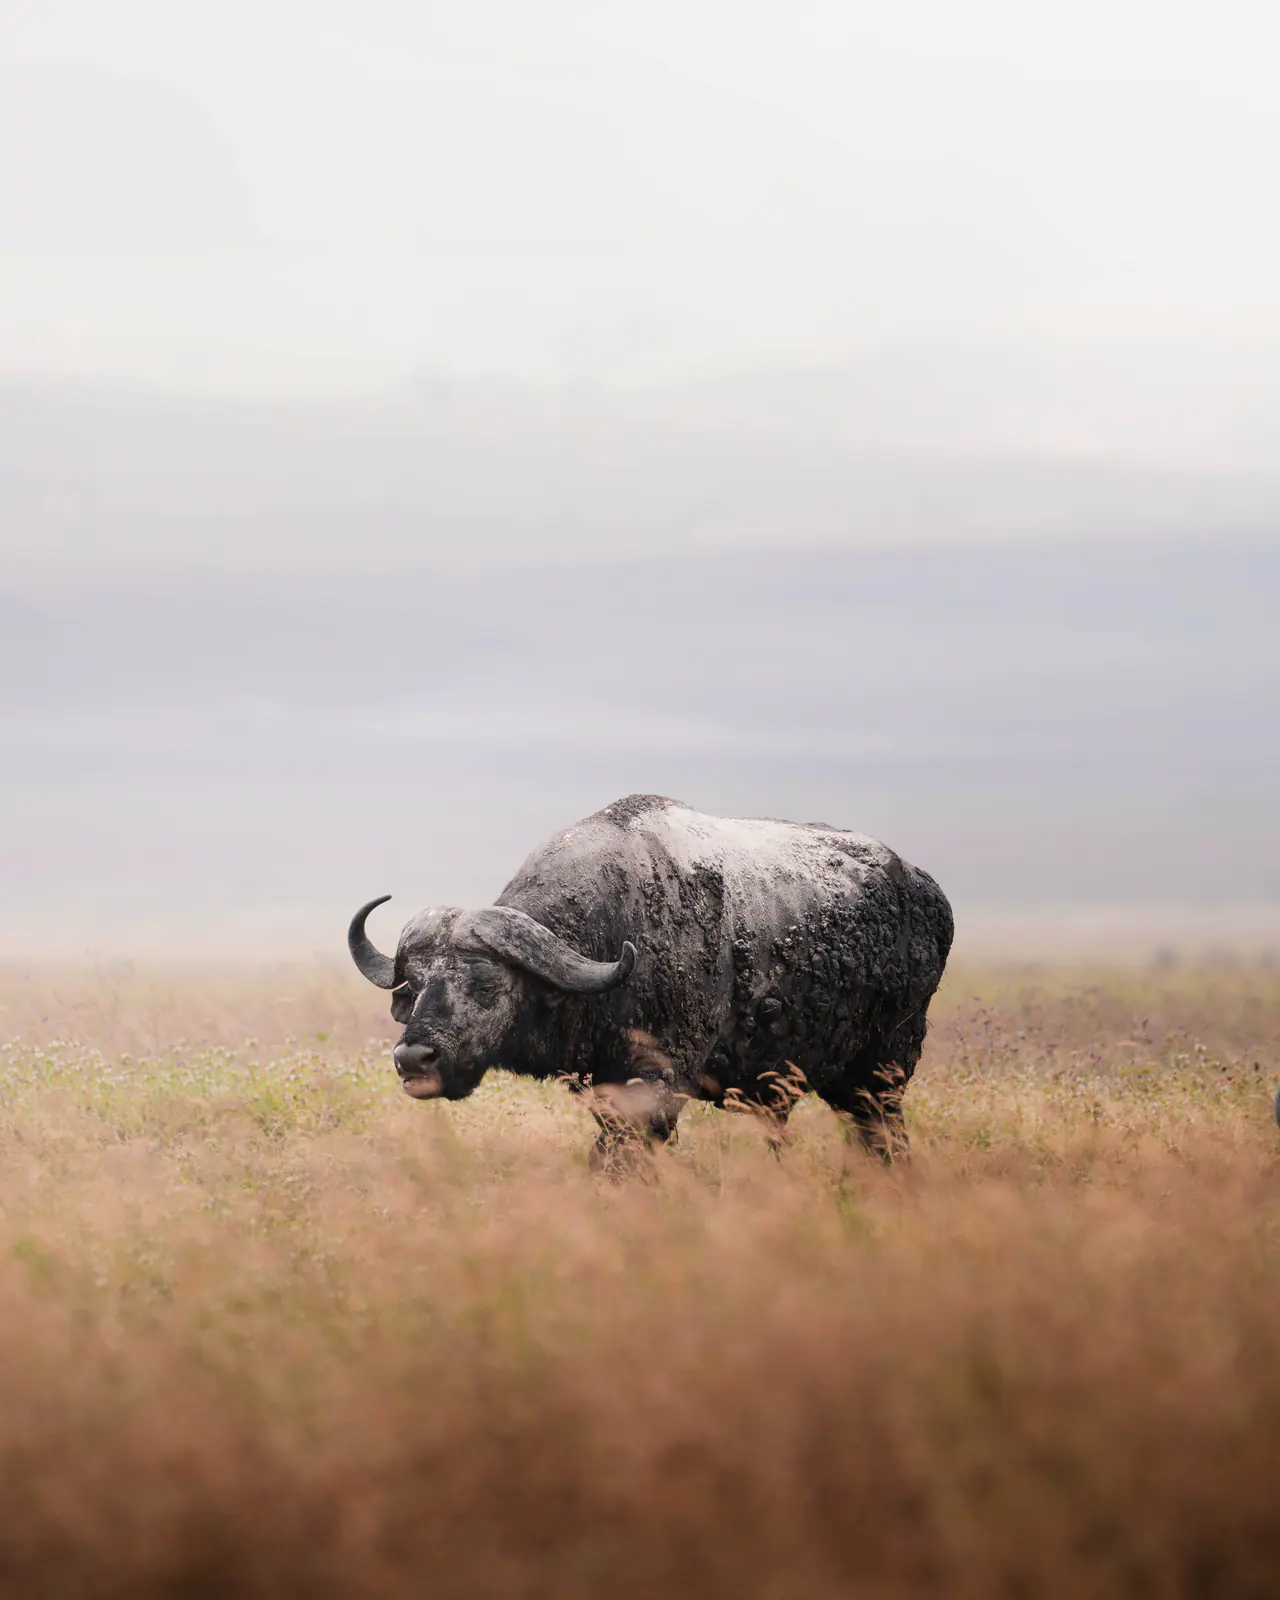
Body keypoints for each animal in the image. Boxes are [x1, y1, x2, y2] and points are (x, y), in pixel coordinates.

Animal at [349, 794, 953, 1165]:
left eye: (486, 984)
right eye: (412, 988)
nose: (413, 1058)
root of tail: (927, 890)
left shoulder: (659, 1085)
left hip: (884, 1072)